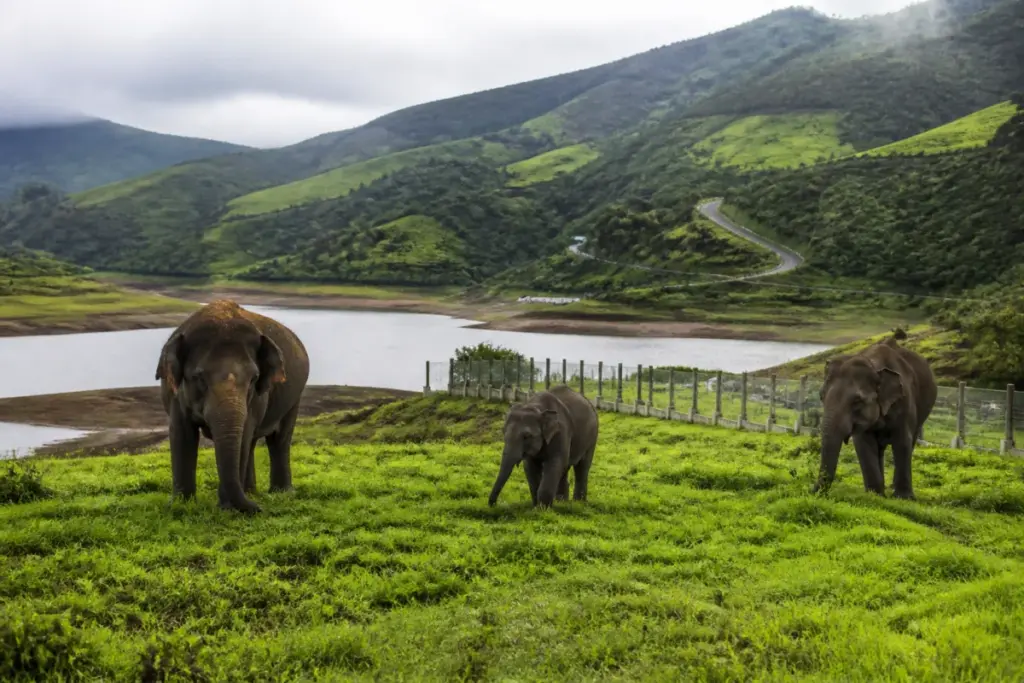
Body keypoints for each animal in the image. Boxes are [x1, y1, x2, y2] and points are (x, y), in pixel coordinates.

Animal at [155, 299, 310, 513]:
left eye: (254, 378)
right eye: (199, 377)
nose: (260, 509)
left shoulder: (257, 397)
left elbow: (244, 432)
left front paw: (227, 508)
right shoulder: (174, 393)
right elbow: (182, 433)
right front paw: (180, 505)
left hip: (294, 398)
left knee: (278, 439)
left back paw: (280, 493)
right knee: (254, 442)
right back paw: (252, 492)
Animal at [811, 334, 936, 499]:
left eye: (857, 401)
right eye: (821, 396)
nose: (812, 490)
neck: (873, 364)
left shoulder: (905, 401)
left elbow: (902, 441)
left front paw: (903, 498)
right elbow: (863, 443)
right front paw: (875, 494)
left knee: (911, 441)